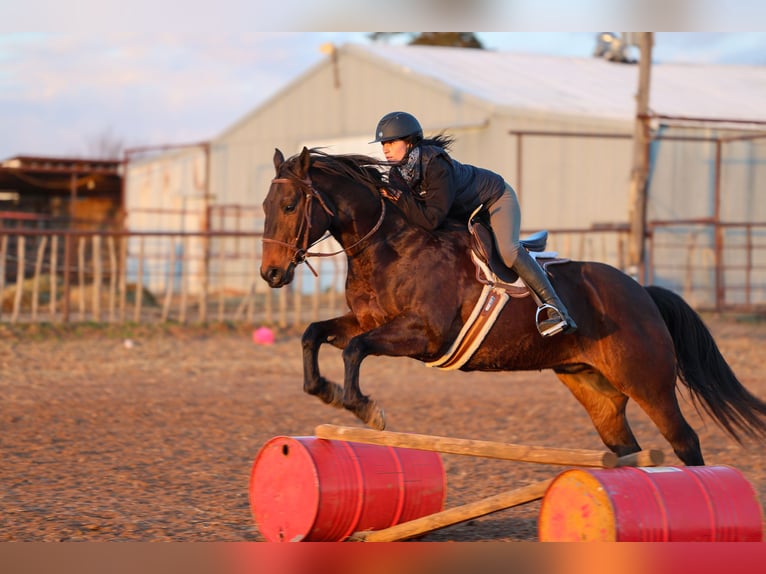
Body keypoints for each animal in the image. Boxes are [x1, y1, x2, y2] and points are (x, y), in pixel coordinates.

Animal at [260, 147, 766, 466]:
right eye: (266, 205)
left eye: (290, 205)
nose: (271, 274)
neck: (390, 245)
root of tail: (643, 292)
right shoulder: (366, 321)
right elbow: (315, 334)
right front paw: (325, 391)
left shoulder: (422, 335)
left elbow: (355, 349)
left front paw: (364, 408)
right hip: (593, 386)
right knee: (625, 448)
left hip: (648, 381)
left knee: (685, 440)